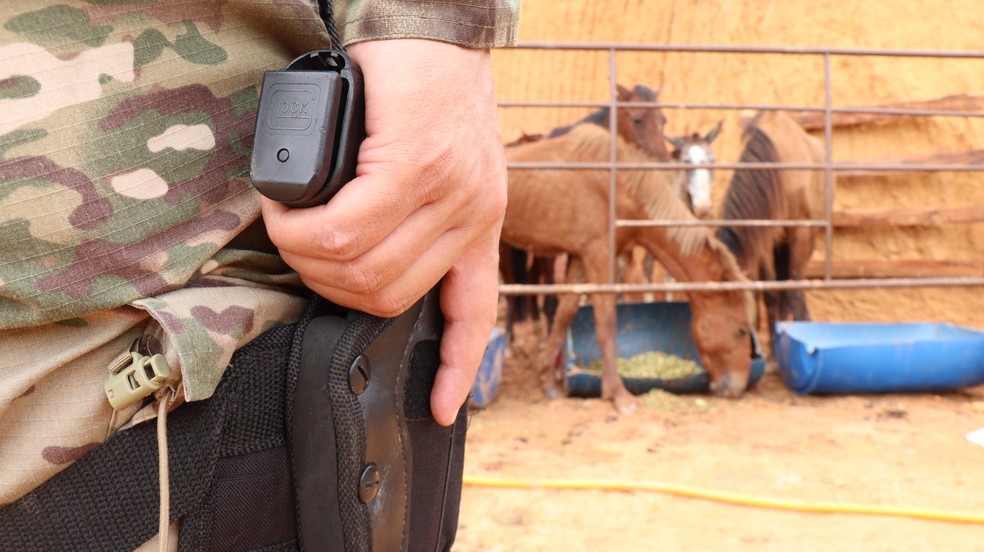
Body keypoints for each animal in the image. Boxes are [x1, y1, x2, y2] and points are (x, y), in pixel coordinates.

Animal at [504, 122, 756, 414]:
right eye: (741, 330)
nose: (737, 387)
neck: (617, 186)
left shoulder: (581, 258)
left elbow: (564, 314)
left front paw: (549, 382)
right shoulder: (600, 256)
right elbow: (606, 323)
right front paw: (618, 394)